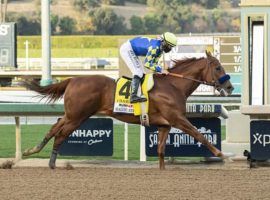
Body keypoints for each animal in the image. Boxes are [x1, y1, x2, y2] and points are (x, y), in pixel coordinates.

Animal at [23, 51, 233, 169]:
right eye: (217, 67)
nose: (230, 87)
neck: (174, 86)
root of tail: (73, 79)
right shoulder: (178, 119)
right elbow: (200, 135)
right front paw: (223, 155)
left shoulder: (164, 125)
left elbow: (161, 151)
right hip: (78, 116)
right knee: (60, 133)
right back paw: (50, 162)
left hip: (73, 114)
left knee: (55, 127)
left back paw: (33, 150)